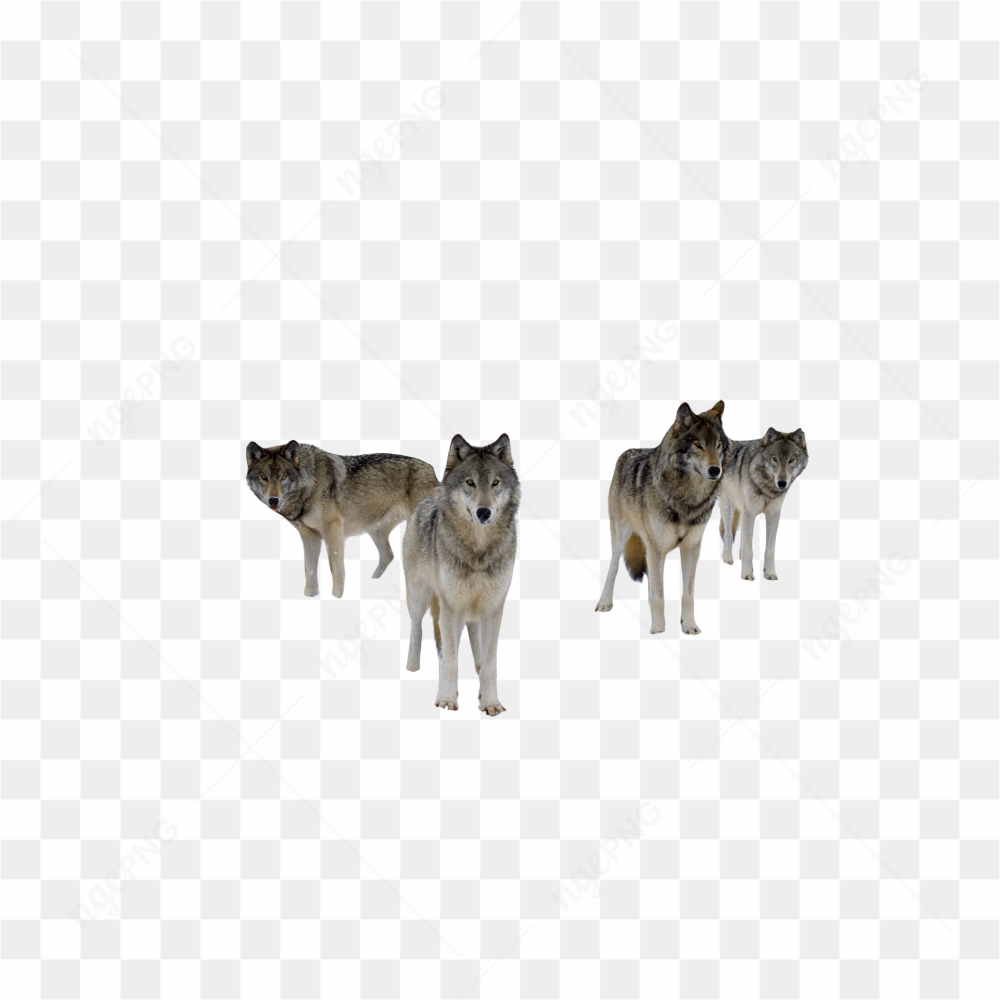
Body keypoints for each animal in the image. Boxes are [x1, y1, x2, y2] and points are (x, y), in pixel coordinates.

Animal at [246, 440, 438, 598]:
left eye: (283, 477)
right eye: (264, 477)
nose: (273, 500)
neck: (310, 484)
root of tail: (432, 469)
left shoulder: (333, 531)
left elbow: (336, 570)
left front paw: (336, 598)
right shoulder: (309, 536)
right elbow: (309, 570)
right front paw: (310, 596)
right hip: (375, 531)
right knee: (388, 555)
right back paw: (373, 583)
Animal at [402, 433, 520, 715]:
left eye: (495, 482)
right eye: (470, 482)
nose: (483, 512)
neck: (478, 550)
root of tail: (427, 498)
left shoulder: (493, 606)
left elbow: (489, 663)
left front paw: (489, 702)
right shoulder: (450, 605)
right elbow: (451, 659)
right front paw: (447, 698)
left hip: (471, 609)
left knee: (473, 637)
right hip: (419, 597)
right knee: (417, 628)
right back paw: (412, 668)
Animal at [595, 401, 728, 635]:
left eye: (718, 445)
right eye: (698, 445)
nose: (715, 470)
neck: (687, 499)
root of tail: (626, 452)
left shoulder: (691, 547)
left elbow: (687, 594)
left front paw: (689, 626)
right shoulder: (657, 547)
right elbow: (659, 596)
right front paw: (658, 631)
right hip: (621, 536)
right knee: (613, 566)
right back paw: (604, 602)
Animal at [718, 427, 808, 581]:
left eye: (791, 460)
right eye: (774, 459)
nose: (782, 483)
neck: (767, 488)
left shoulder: (773, 515)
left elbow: (770, 549)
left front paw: (770, 573)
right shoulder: (749, 513)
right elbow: (748, 548)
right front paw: (747, 574)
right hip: (728, 507)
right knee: (729, 533)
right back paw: (727, 559)